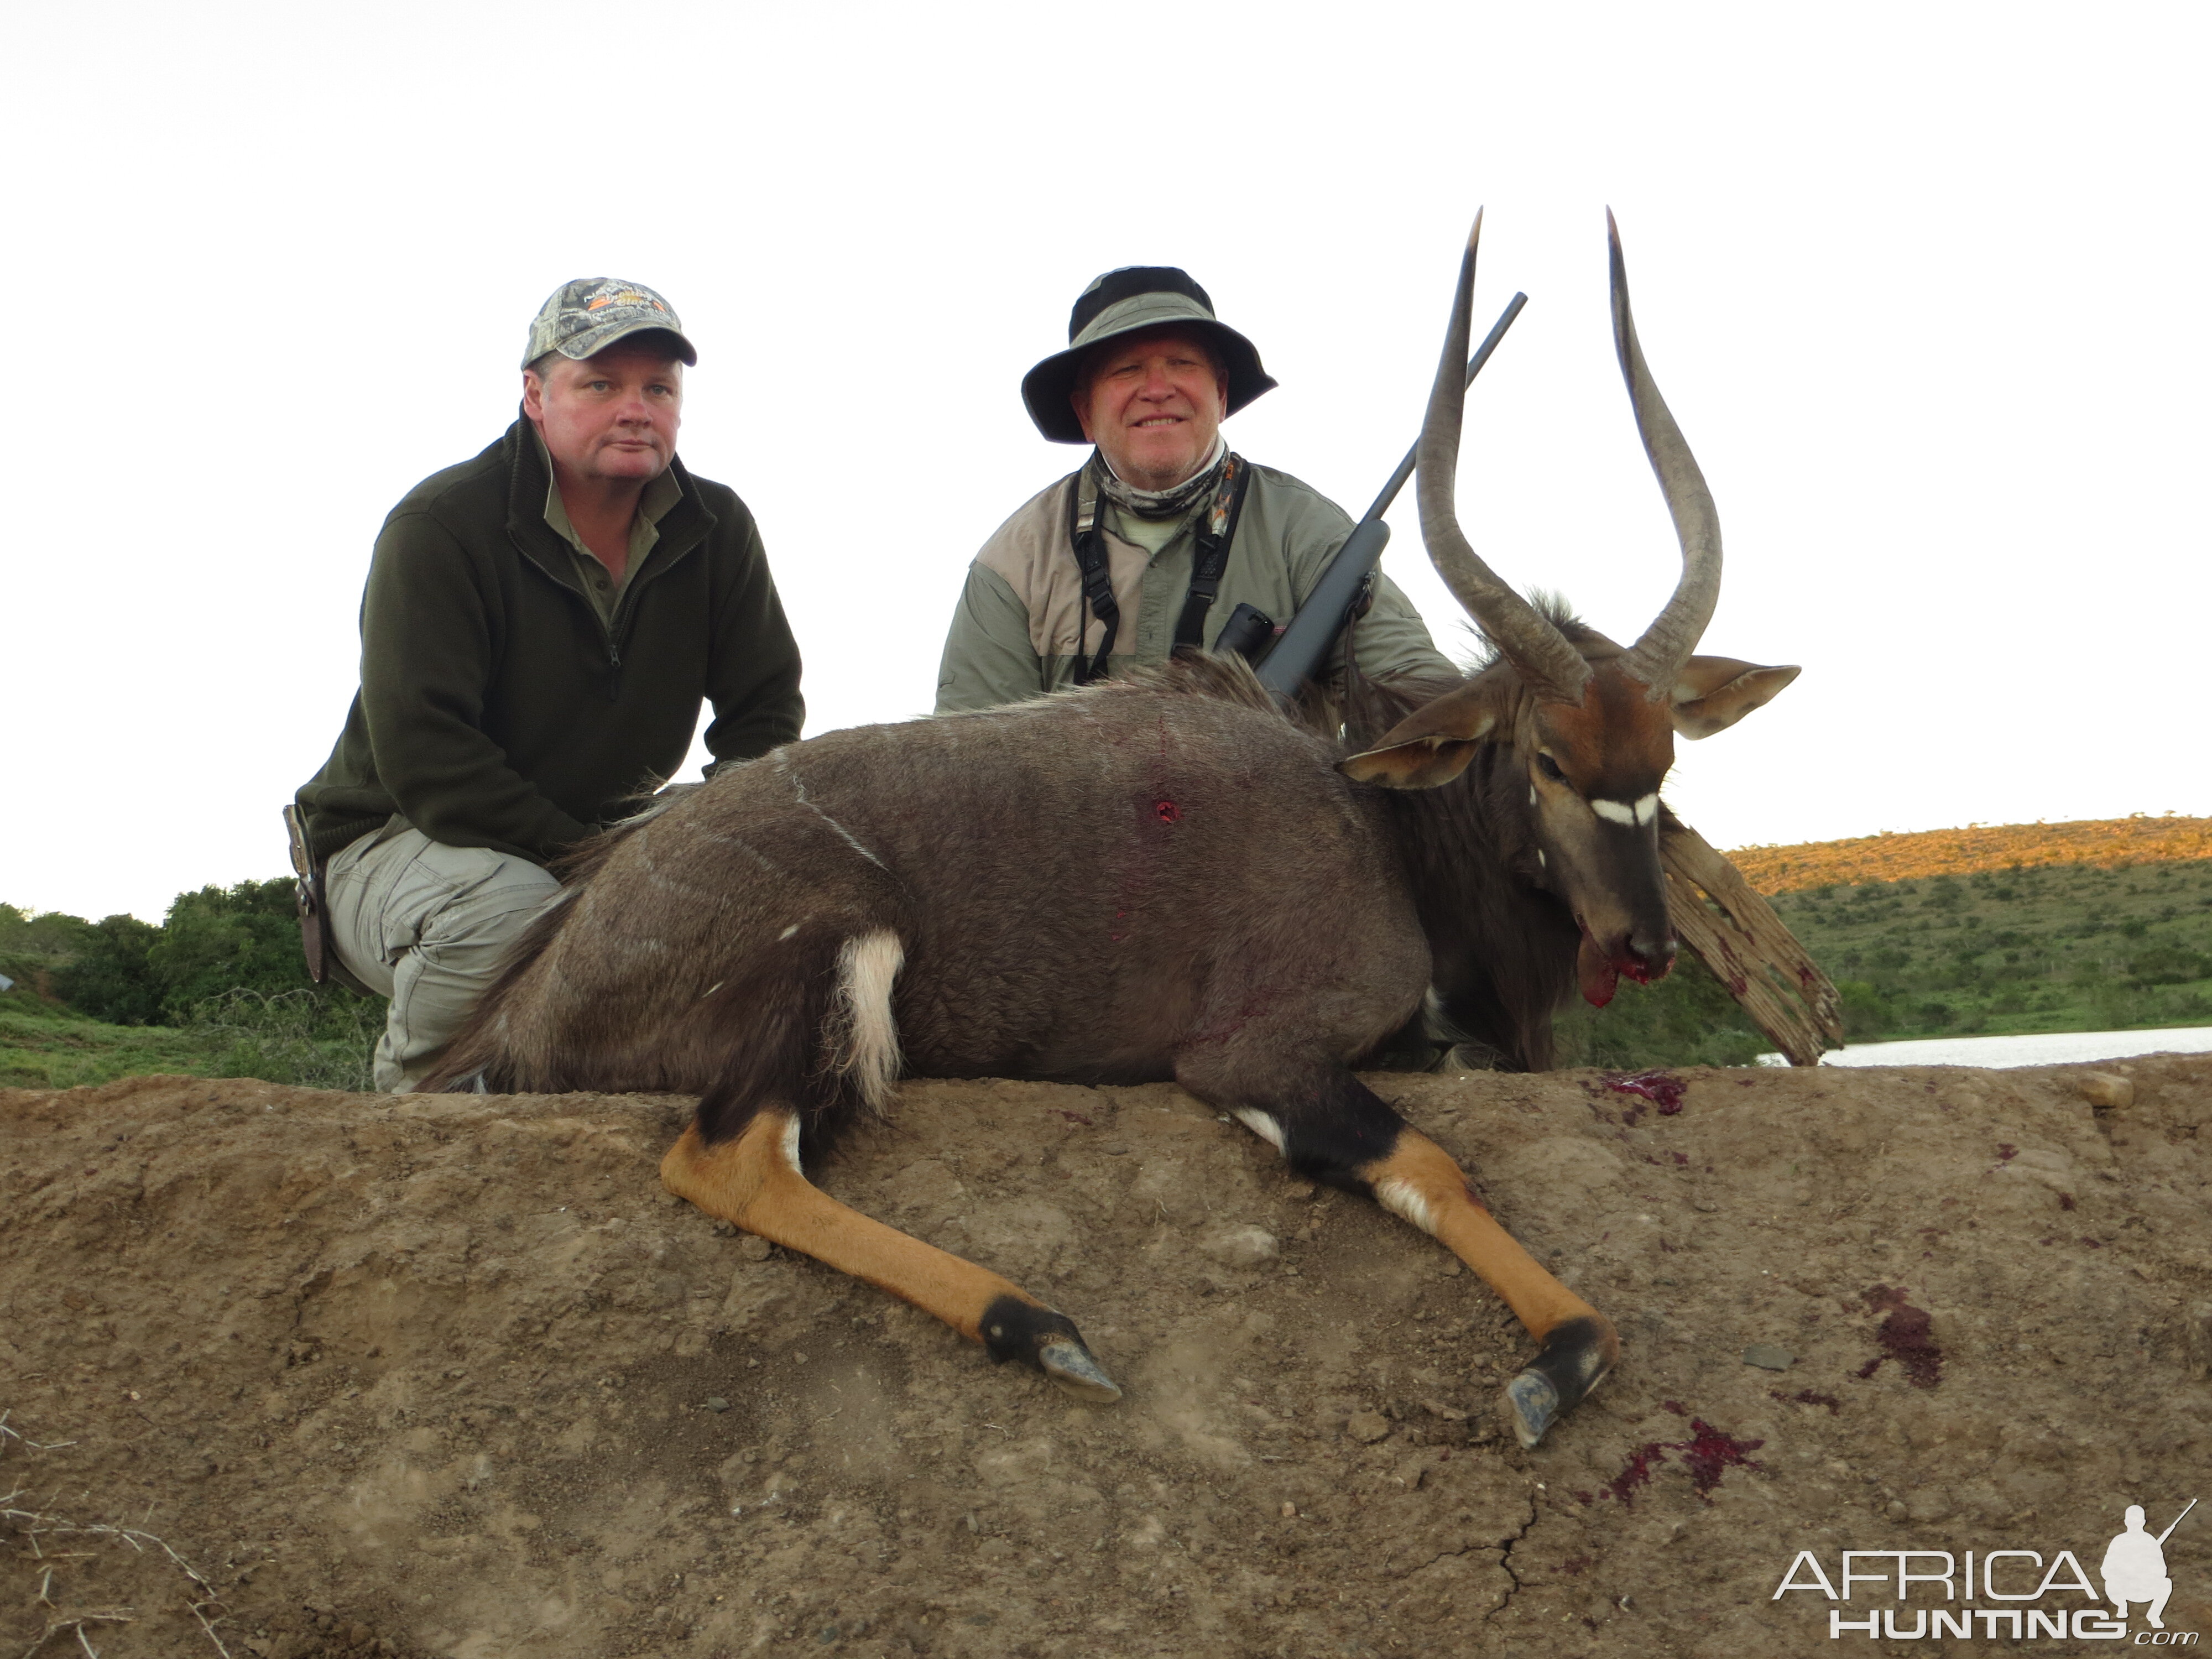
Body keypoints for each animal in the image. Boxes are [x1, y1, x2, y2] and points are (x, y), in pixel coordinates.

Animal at [427, 215, 1796, 1451]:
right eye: (1548, 760)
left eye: (1663, 762)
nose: (1642, 944)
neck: (1375, 815)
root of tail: (534, 992)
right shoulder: (1253, 1055)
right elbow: (1452, 1184)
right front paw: (1546, 1370)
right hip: (832, 968)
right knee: (726, 1159)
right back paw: (1038, 1326)